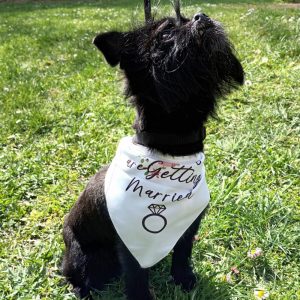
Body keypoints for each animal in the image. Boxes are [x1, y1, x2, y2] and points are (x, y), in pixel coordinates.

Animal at [62, 1, 244, 298]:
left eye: (185, 17)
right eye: (165, 34)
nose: (201, 16)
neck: (171, 149)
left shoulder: (189, 226)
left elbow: (182, 253)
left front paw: (184, 279)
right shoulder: (130, 245)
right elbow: (136, 276)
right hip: (83, 258)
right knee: (79, 277)